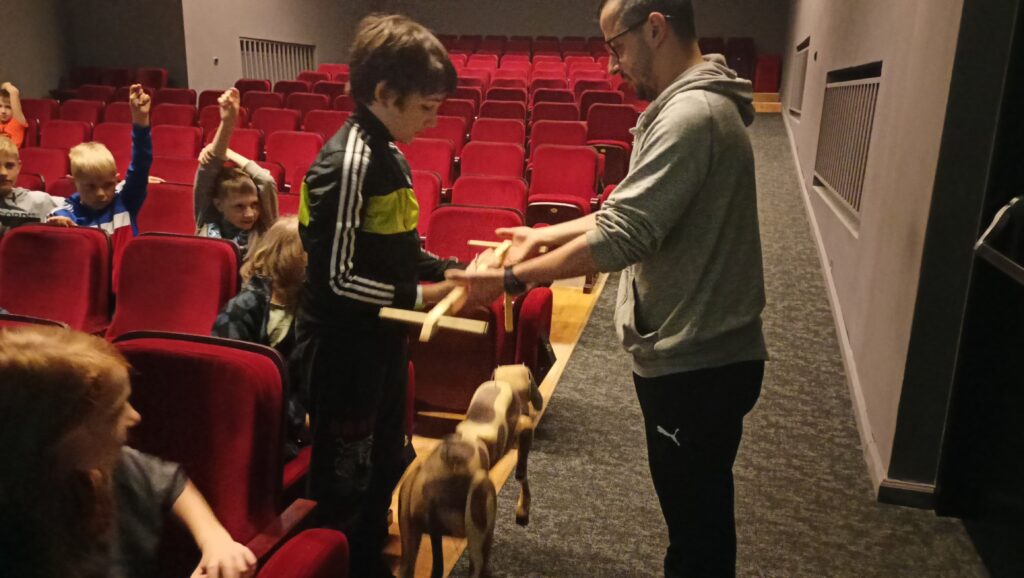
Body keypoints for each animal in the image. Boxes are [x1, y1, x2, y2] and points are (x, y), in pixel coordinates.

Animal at [398, 365, 543, 578]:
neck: (505, 384)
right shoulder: (524, 429)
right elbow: (521, 473)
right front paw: (523, 510)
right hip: (480, 514)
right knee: (478, 566)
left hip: (410, 532)